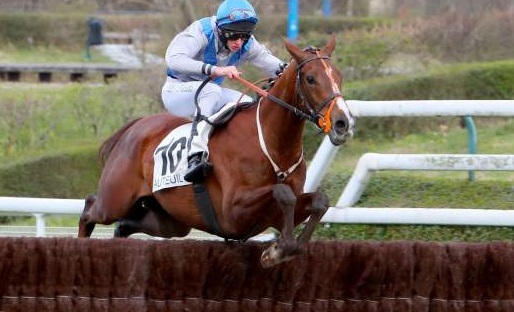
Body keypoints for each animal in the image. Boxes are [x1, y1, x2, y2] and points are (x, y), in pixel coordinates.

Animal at [78, 34, 354, 268]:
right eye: (310, 78)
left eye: (339, 76)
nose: (343, 123)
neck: (273, 144)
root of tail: (134, 127)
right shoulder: (233, 210)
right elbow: (282, 192)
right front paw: (277, 251)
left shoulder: (278, 215)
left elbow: (319, 201)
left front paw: (286, 248)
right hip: (114, 200)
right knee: (89, 208)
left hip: (169, 221)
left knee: (123, 227)